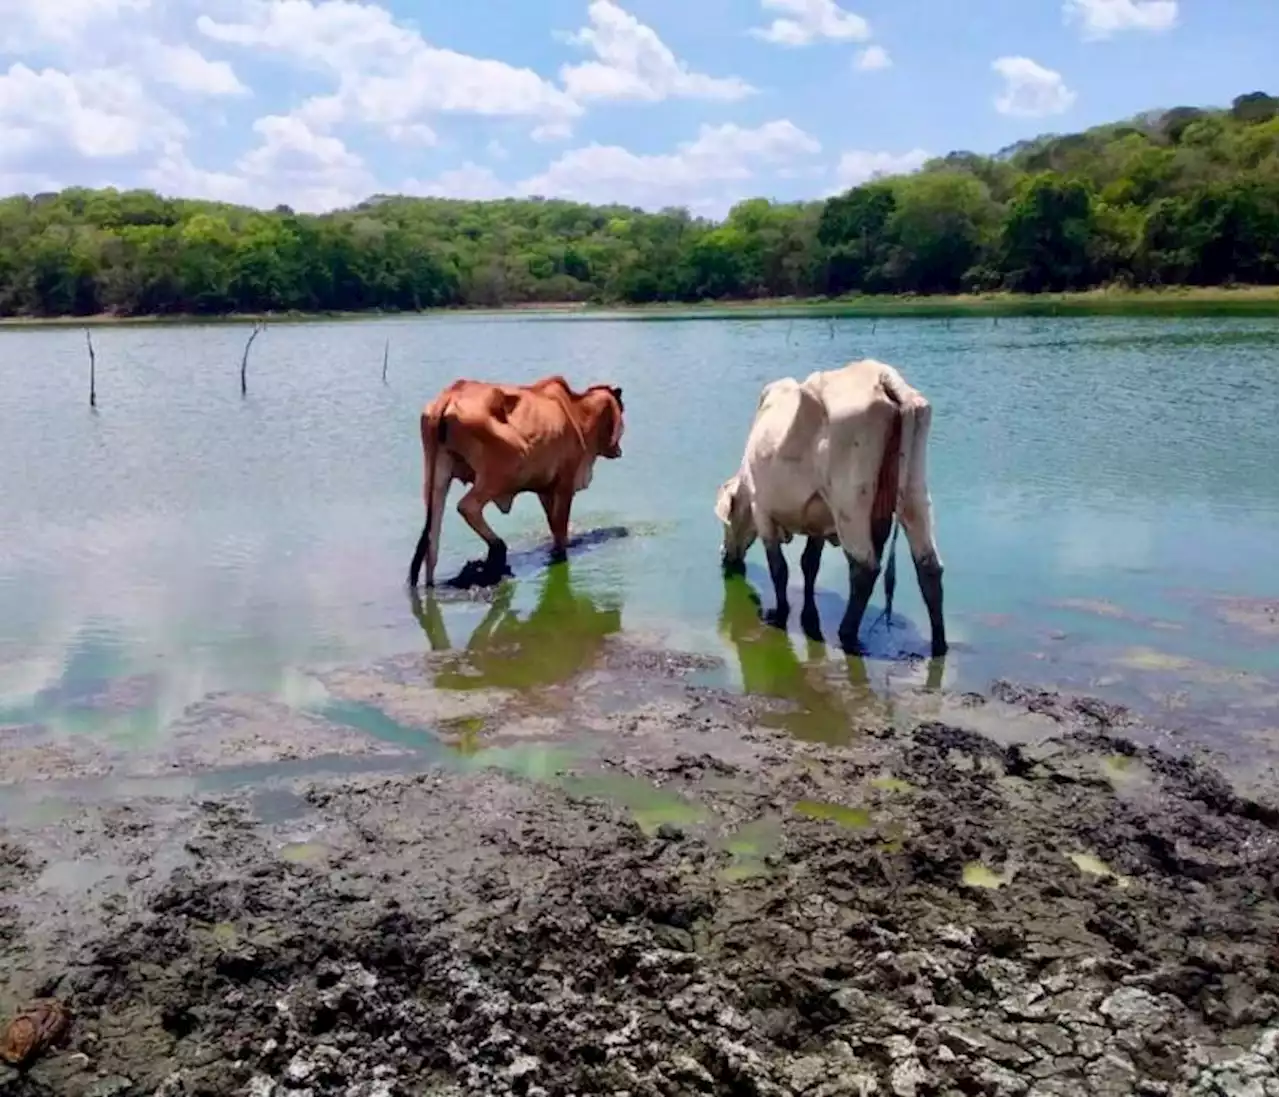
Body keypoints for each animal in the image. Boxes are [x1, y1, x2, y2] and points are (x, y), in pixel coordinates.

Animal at [409, 371, 624, 586]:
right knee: (467, 507)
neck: (579, 412)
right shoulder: (565, 484)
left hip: (437, 475)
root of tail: (450, 395)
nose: (618, 450)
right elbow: (560, 529)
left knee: (432, 542)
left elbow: (554, 525)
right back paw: (497, 550)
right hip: (500, 474)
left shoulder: (546, 490)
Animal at [716, 355, 947, 655]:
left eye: (726, 522)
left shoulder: (762, 509)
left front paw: (779, 613)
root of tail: (881, 375)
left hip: (850, 503)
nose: (724, 555)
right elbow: (809, 564)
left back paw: (846, 633)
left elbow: (779, 568)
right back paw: (939, 644)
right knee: (929, 566)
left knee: (864, 568)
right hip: (914, 493)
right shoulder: (818, 518)